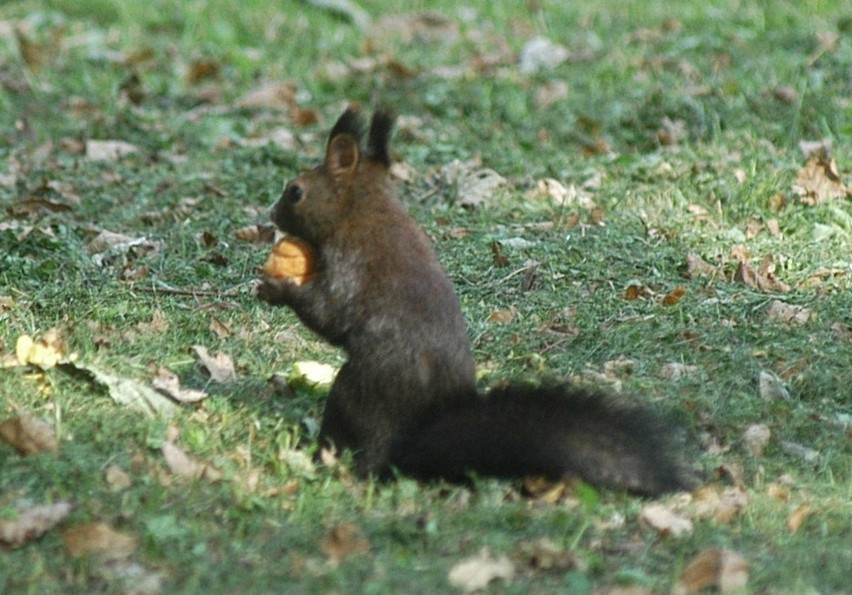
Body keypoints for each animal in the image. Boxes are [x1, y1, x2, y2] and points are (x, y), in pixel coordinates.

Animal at [256, 108, 696, 498]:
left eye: (295, 192)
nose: (271, 212)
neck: (366, 210)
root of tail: (414, 440)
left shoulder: (354, 262)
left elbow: (330, 313)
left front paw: (277, 289)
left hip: (358, 393)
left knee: (367, 455)